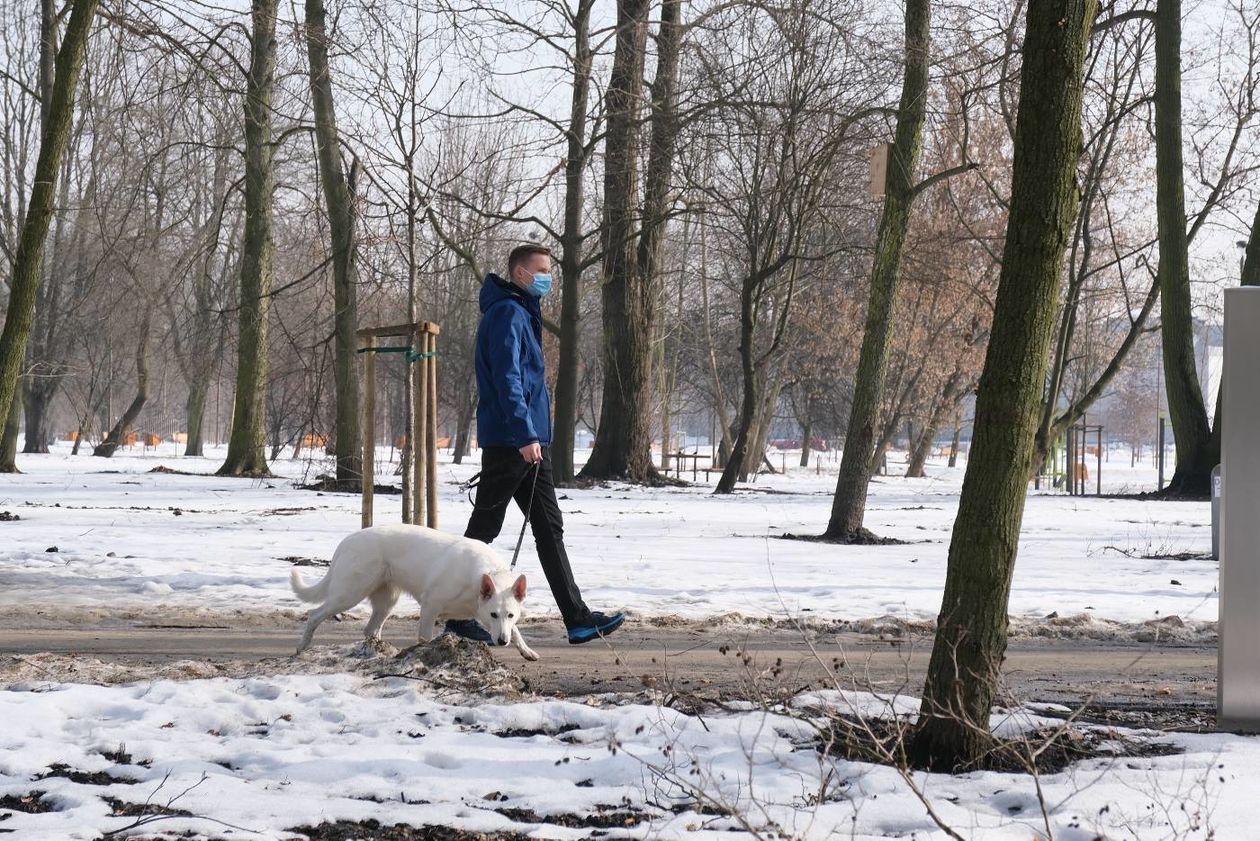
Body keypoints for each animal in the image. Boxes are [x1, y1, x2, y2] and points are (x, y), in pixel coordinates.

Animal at [289, 522, 536, 660]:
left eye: (510, 615)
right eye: (494, 614)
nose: (502, 642)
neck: (477, 578)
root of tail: (347, 541)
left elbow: (515, 631)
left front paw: (525, 650)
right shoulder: (430, 607)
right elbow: (425, 637)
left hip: (386, 602)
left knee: (370, 629)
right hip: (349, 594)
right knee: (314, 615)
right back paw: (301, 647)